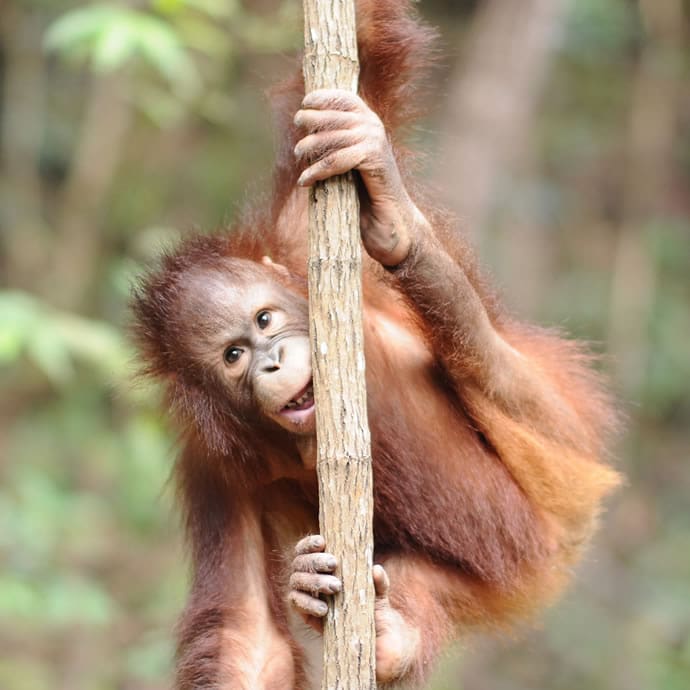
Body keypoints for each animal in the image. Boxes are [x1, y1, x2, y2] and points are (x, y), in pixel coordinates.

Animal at [131, 1, 621, 688]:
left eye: (263, 321)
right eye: (233, 356)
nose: (273, 362)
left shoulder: (299, 228)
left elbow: (365, 47)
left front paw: (373, 169)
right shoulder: (211, 465)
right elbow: (248, 636)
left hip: (558, 479)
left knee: (513, 386)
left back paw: (404, 233)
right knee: (419, 584)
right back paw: (370, 625)